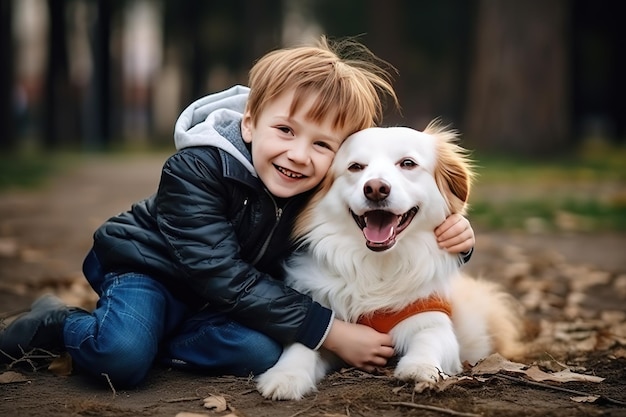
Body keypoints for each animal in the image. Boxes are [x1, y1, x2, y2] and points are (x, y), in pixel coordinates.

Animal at [254, 122, 520, 400]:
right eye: (355, 167)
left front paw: (419, 367)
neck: (378, 265)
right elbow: (303, 345)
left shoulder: (432, 318)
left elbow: (429, 340)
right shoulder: (325, 312)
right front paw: (286, 375)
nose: (375, 188)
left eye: (408, 163)